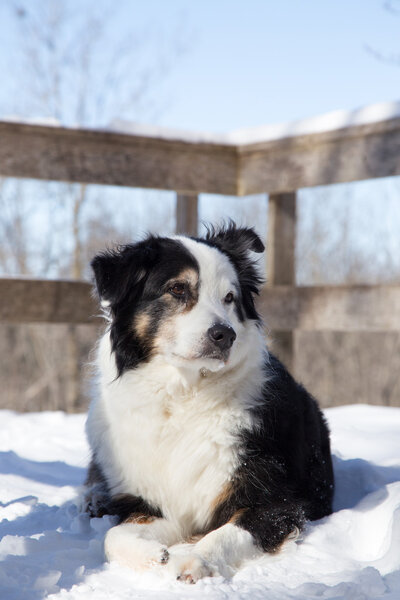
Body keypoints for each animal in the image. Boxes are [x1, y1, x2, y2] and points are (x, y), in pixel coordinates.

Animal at [84, 224, 334, 580]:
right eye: (177, 289)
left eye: (229, 298)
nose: (224, 335)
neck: (183, 395)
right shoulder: (158, 501)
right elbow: (113, 535)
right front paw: (153, 556)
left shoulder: (277, 502)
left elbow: (226, 533)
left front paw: (195, 559)